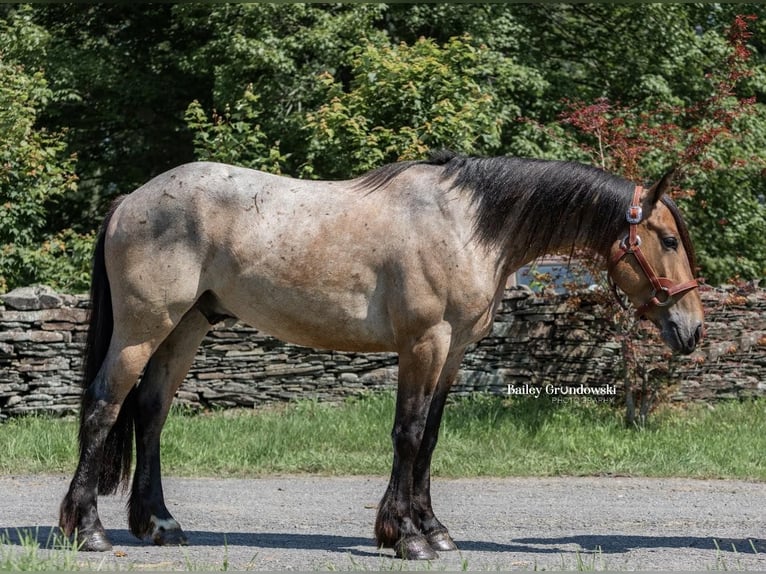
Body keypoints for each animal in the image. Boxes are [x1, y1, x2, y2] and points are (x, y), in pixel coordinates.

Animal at [60, 153, 708, 564]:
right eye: (668, 240)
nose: (693, 330)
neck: (467, 226)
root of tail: (131, 200)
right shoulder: (424, 343)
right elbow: (408, 433)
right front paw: (404, 536)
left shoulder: (453, 351)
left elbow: (431, 438)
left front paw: (434, 530)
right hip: (144, 328)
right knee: (102, 407)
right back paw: (88, 531)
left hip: (186, 327)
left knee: (149, 412)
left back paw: (160, 525)